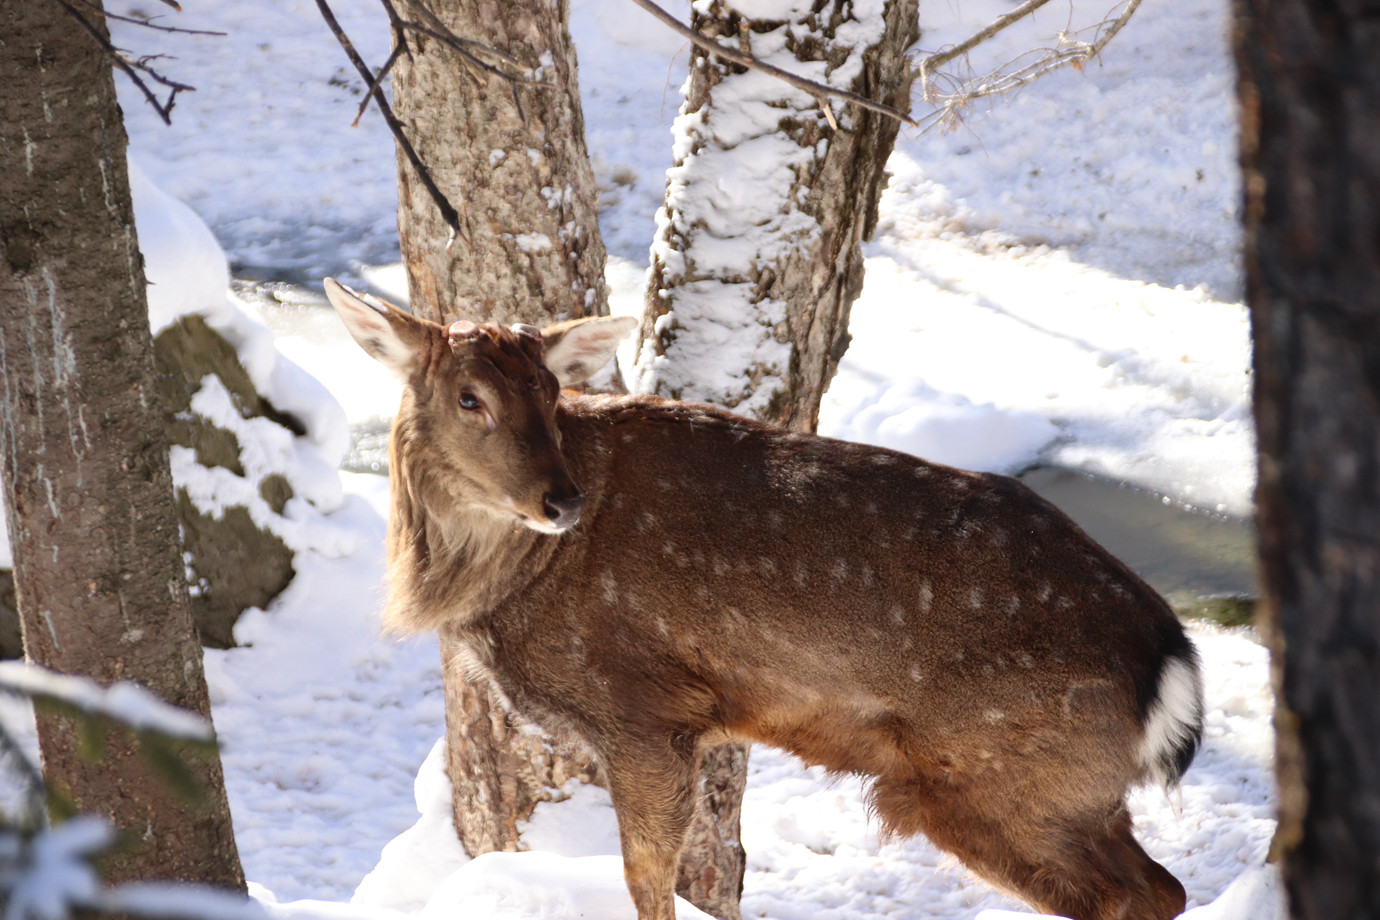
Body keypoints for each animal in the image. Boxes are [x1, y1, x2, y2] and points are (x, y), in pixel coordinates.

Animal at [325, 277, 1208, 920]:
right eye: (468, 397)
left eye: (550, 393)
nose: (561, 498)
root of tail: (1171, 657)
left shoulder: (645, 706)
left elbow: (648, 877)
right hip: (1067, 791)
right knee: (1161, 888)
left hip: (1000, 774)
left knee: (1125, 897)